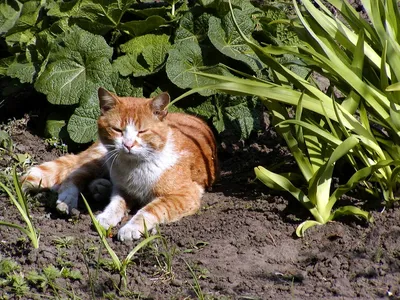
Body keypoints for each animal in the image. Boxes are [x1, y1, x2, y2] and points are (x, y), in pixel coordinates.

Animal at [21, 87, 219, 241]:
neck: (135, 167)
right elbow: (116, 204)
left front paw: (130, 227)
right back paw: (67, 200)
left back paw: (100, 187)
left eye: (142, 131)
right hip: (101, 158)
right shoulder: (122, 189)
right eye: (117, 130)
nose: (128, 145)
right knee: (74, 175)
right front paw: (106, 217)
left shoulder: (184, 195)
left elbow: (150, 209)